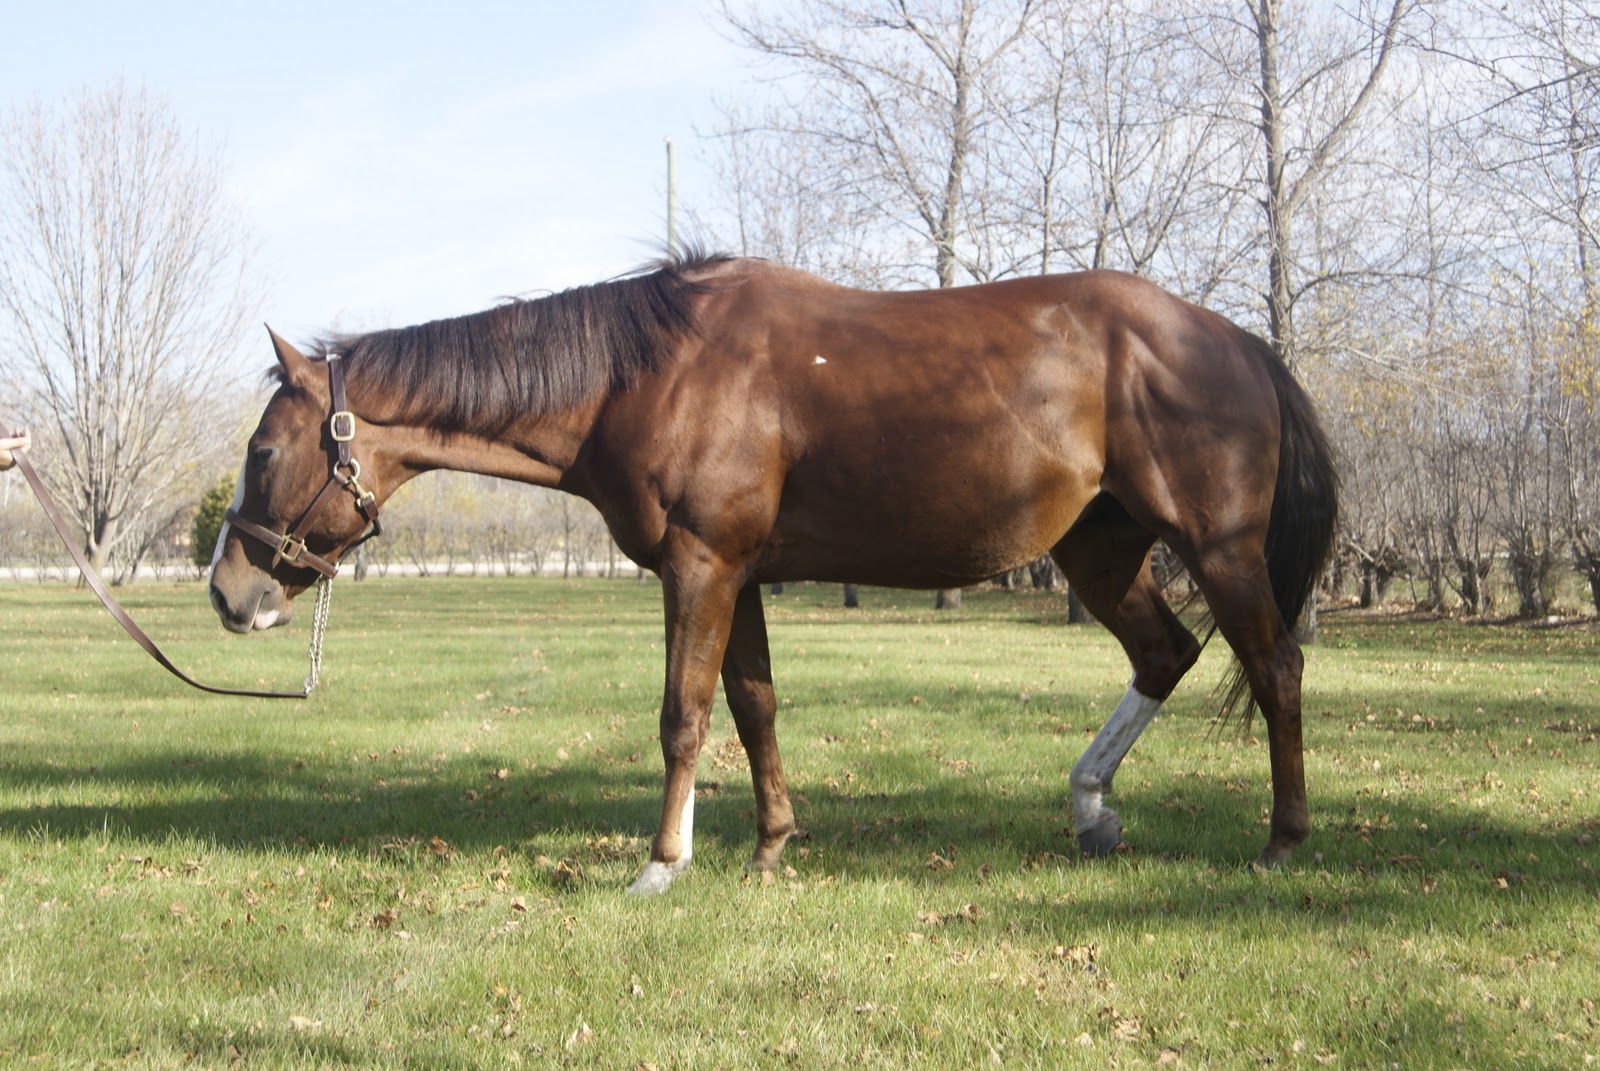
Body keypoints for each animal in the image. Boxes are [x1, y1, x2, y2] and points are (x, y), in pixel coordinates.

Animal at [208, 252, 1338, 894]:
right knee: (1167, 652)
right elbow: (752, 705)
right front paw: (767, 846)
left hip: (1217, 547)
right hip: (1099, 551)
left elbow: (684, 714)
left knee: (1274, 668)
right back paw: (1090, 808)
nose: (231, 592)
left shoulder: (700, 564)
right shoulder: (738, 573)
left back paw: (1283, 843)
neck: (648, 374)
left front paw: (661, 865)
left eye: (263, 451)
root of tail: (1236, 338)